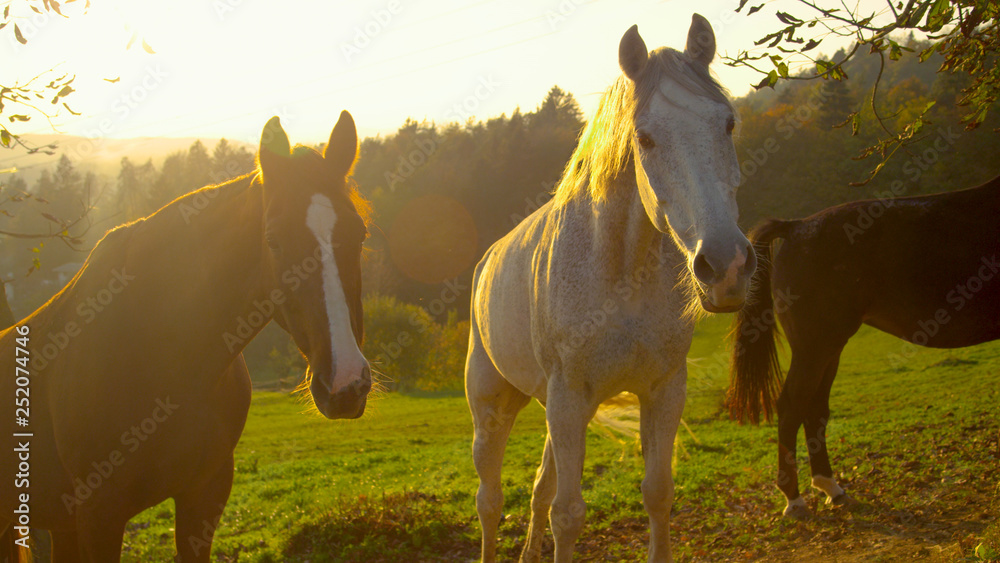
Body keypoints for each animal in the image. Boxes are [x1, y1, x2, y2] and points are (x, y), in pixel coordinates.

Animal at [464, 15, 752, 560]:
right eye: (645, 137)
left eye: (728, 123)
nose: (726, 265)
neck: (621, 273)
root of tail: (485, 261)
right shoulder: (569, 397)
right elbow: (568, 515)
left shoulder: (663, 390)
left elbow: (658, 493)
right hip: (494, 408)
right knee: (490, 502)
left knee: (538, 489)